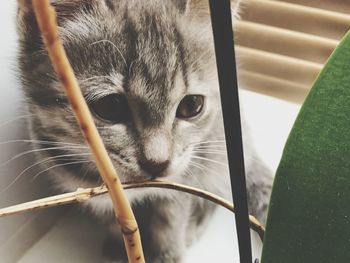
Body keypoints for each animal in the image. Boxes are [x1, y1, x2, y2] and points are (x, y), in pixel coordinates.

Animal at [17, 1, 274, 262]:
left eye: (192, 105)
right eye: (110, 106)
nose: (157, 163)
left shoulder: (181, 180)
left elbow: (171, 220)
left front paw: (167, 254)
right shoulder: (103, 194)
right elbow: (116, 221)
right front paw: (120, 249)